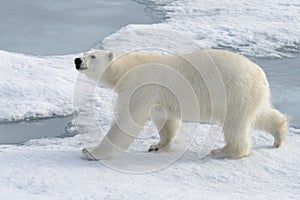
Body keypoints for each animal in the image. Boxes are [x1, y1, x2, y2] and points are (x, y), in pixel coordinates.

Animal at [74, 50, 288, 161]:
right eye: (85, 52)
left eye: (93, 56)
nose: (77, 60)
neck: (129, 67)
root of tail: (260, 73)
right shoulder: (158, 96)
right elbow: (164, 119)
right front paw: (158, 146)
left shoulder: (142, 86)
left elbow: (127, 120)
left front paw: (91, 152)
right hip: (249, 96)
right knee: (259, 115)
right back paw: (279, 135)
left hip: (235, 91)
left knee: (234, 125)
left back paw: (223, 151)